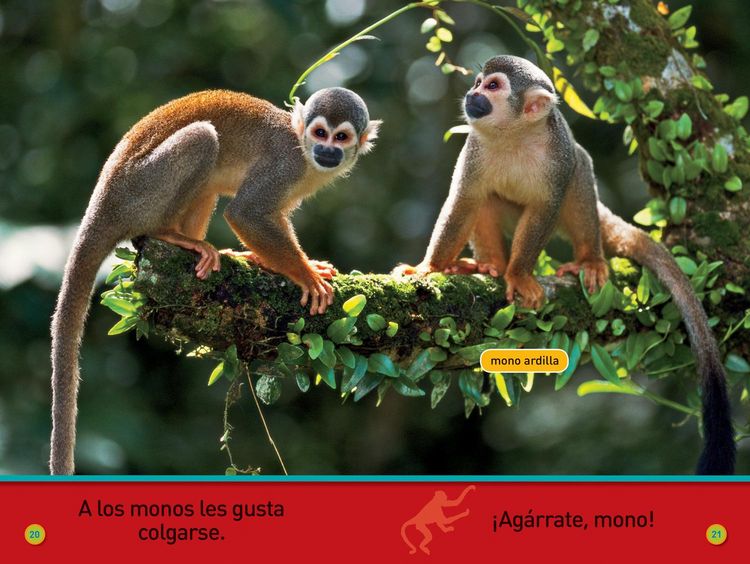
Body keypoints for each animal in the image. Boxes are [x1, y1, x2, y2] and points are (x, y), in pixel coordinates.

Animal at [50, 87, 381, 475]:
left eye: (340, 137)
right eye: (320, 133)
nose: (326, 151)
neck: (303, 152)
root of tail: (100, 205)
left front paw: (286, 263)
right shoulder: (284, 167)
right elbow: (246, 214)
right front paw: (306, 275)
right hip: (136, 195)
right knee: (203, 138)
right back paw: (169, 234)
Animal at [394, 55, 735, 475]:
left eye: (493, 86)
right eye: (478, 82)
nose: (473, 95)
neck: (514, 135)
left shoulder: (558, 156)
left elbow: (549, 203)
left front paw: (519, 274)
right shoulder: (474, 149)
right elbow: (465, 202)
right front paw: (430, 267)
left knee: (580, 173)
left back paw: (587, 258)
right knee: (486, 199)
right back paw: (489, 266)